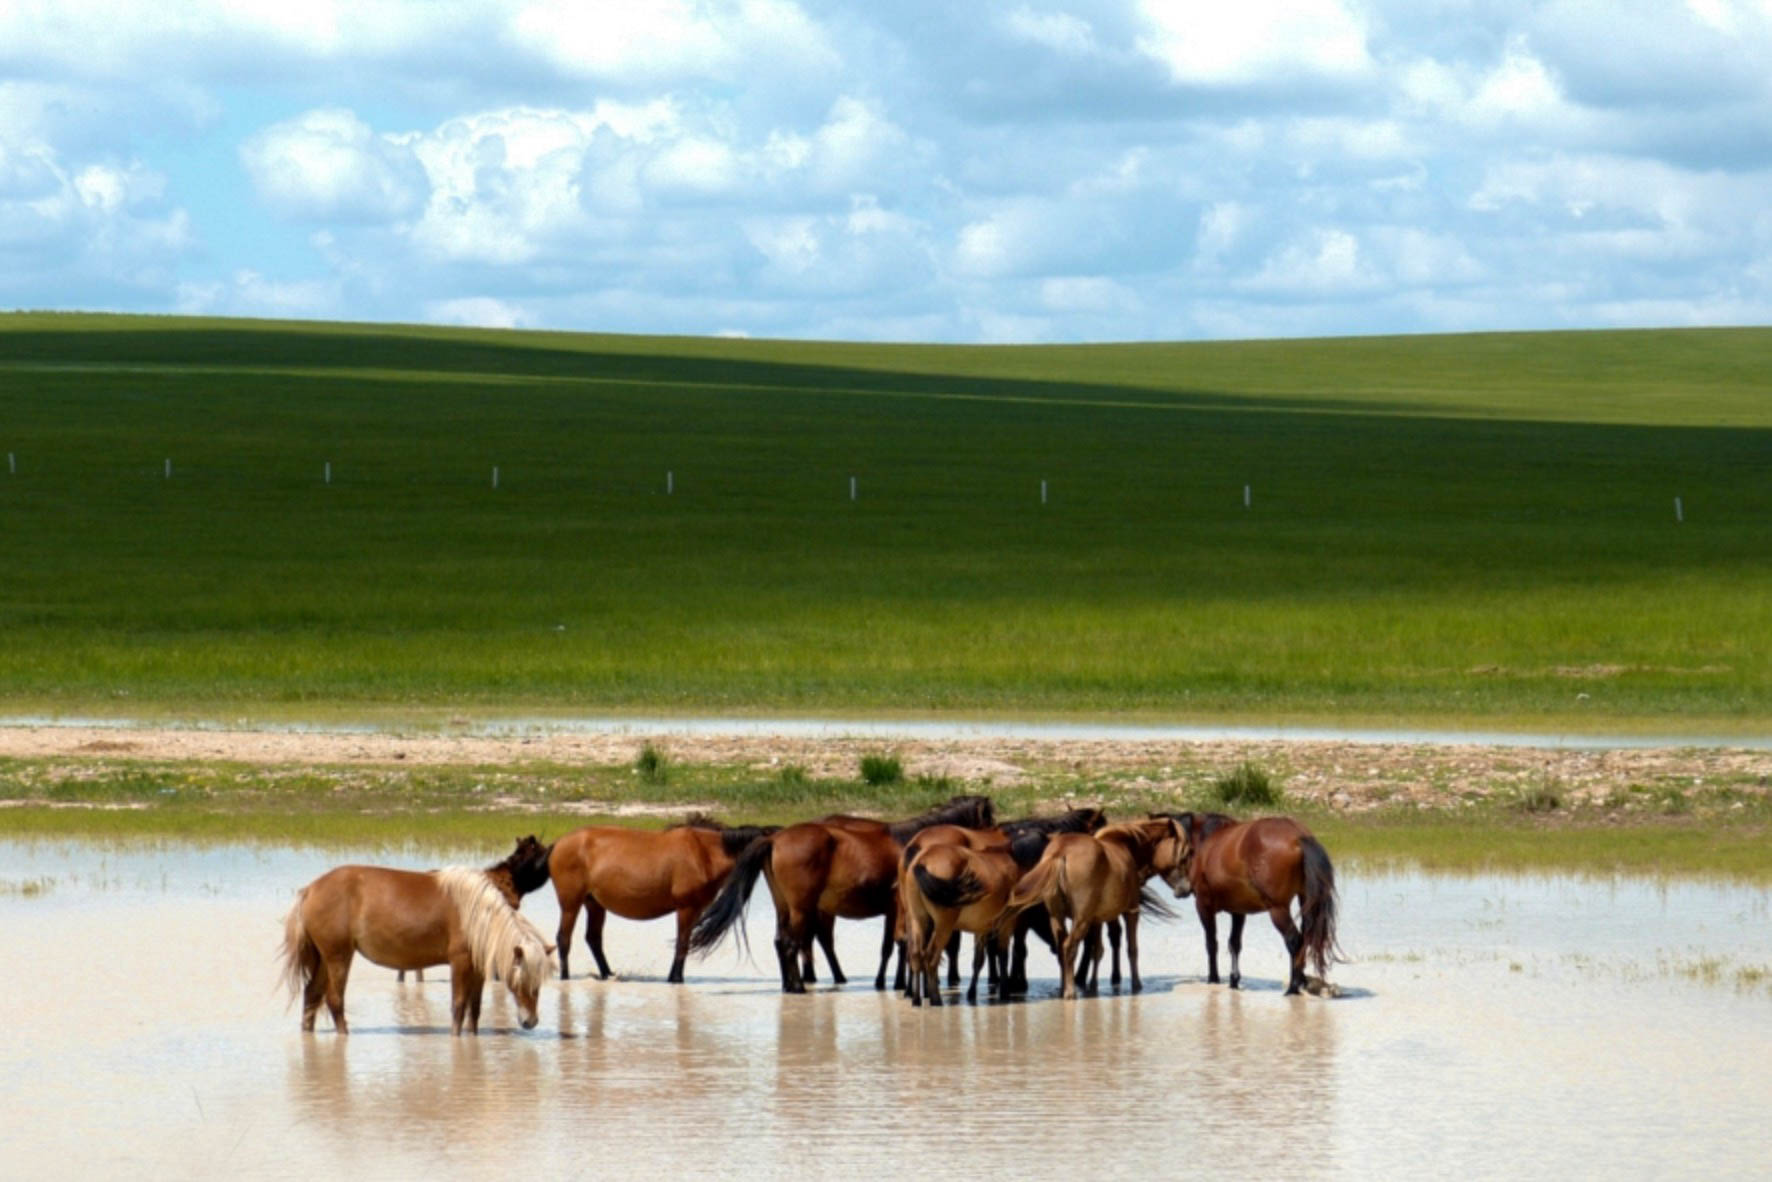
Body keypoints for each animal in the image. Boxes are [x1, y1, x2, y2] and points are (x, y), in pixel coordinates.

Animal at [279, 850, 552, 1034]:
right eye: (521, 981)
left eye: (538, 984)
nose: (530, 1022)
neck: (476, 913)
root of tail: (310, 889)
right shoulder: (460, 962)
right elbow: (459, 1006)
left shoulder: (476, 969)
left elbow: (474, 1010)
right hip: (338, 957)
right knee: (335, 1000)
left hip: (324, 959)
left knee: (311, 995)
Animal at [549, 818, 779, 985]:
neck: (704, 853)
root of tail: (558, 843)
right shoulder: (686, 908)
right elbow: (682, 943)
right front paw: (676, 979)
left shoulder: (695, 909)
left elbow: (683, 943)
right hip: (571, 904)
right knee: (564, 938)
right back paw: (565, 977)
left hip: (594, 904)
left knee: (593, 939)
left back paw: (608, 974)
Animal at [687, 793, 999, 992]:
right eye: (990, 822)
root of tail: (774, 838)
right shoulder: (898, 907)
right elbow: (896, 945)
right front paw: (894, 983)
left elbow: (892, 946)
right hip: (802, 907)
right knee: (793, 943)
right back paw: (799, 987)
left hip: (784, 907)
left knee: (784, 942)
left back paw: (793, 983)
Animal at [992, 818, 1183, 1006]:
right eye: (1184, 853)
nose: (1184, 889)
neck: (1124, 846)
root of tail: (1060, 853)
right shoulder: (1131, 911)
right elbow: (1131, 949)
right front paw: (1136, 984)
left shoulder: (1096, 918)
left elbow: (1096, 950)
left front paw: (1092, 985)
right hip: (1081, 920)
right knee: (1070, 946)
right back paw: (1070, 991)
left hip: (1060, 918)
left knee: (1066, 946)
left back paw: (1066, 986)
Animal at [1162, 808, 1339, 992]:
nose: (1182, 890)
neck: (1204, 840)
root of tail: (1299, 836)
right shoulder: (1238, 911)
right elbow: (1234, 943)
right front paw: (1233, 980)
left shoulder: (1204, 906)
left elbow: (1211, 943)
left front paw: (1213, 978)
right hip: (1305, 901)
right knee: (1305, 938)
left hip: (1278, 909)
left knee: (1294, 940)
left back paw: (1293, 987)